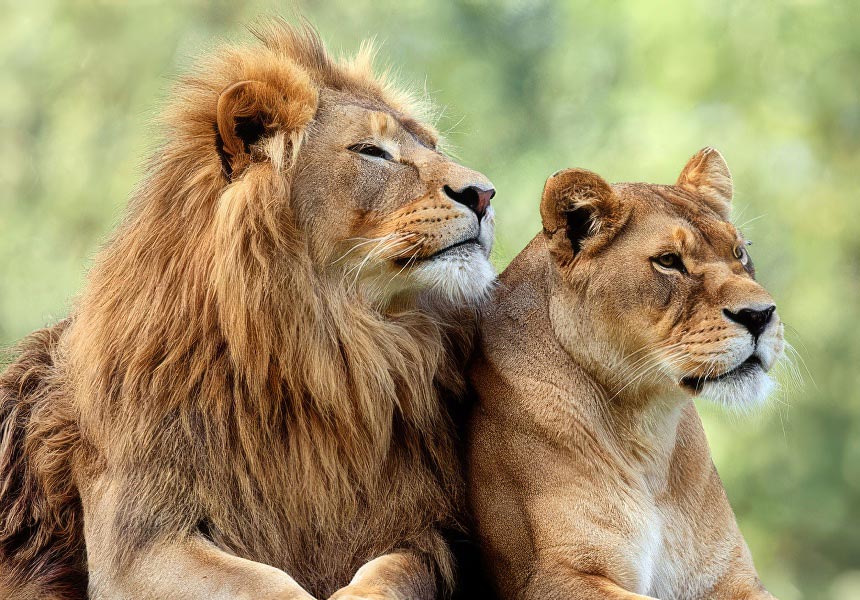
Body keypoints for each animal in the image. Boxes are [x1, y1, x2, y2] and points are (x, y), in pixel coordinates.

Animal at [0, 20, 497, 600]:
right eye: (371, 151)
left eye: (432, 146)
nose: (485, 194)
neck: (327, 352)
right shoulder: (137, 543)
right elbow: (267, 584)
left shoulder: (425, 532)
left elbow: (391, 574)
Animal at [466, 148, 784, 599]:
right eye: (668, 261)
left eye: (739, 252)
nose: (761, 315)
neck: (648, 430)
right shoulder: (549, 577)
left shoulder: (730, 576)